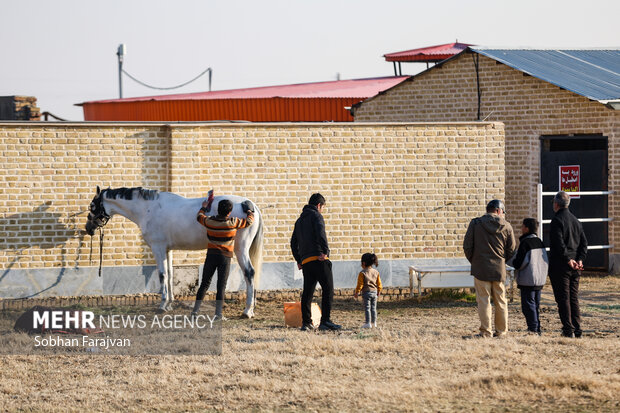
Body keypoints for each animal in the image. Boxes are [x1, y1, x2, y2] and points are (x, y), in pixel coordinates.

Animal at [85, 187, 264, 316]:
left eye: (92, 206)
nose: (88, 228)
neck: (149, 209)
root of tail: (250, 205)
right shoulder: (167, 249)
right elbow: (170, 275)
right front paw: (169, 303)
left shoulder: (157, 248)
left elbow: (162, 275)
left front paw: (162, 305)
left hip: (241, 249)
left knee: (249, 273)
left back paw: (247, 311)